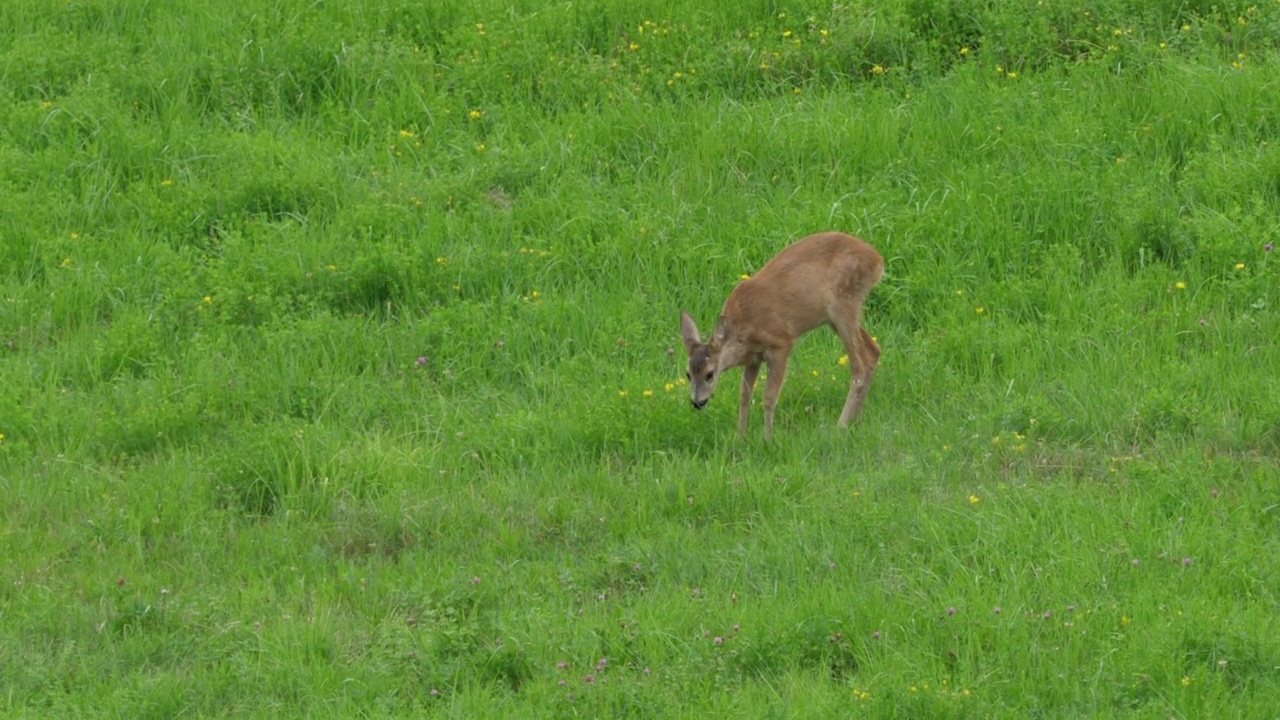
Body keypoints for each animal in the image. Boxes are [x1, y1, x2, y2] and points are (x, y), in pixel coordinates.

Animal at [680, 233, 880, 440]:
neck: (743, 330)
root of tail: (878, 260)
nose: (697, 402)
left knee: (859, 365)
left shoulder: (781, 343)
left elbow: (769, 397)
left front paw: (768, 438)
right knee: (873, 351)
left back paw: (841, 426)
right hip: (837, 316)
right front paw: (741, 437)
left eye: (710, 374)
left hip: (843, 304)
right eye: (688, 373)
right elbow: (744, 395)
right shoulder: (754, 358)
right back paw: (857, 421)